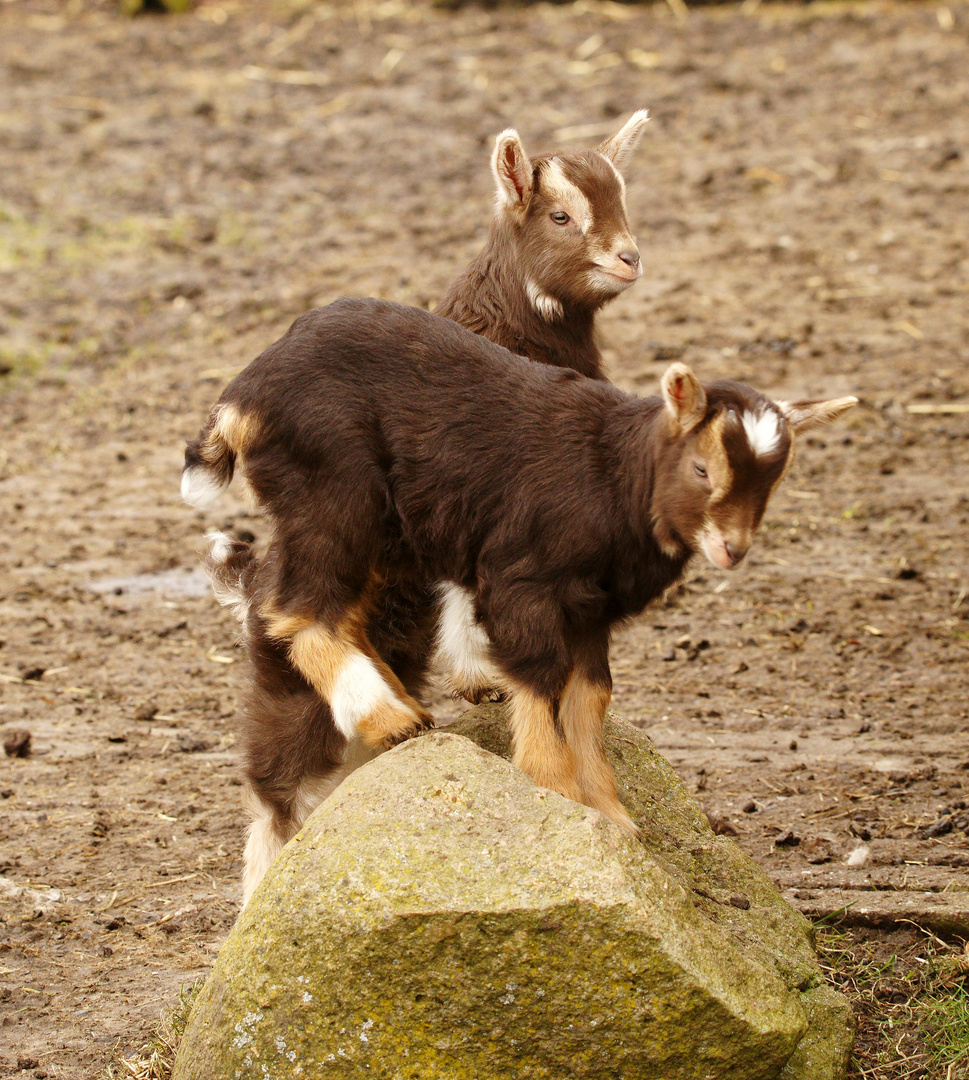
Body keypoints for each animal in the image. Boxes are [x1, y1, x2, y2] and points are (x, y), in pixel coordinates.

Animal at [181, 300, 855, 898]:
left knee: (337, 612)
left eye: (773, 480)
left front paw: (612, 816)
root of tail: (244, 393)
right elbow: (538, 676)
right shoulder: (521, 584)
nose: (732, 549)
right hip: (333, 494)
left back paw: (401, 713)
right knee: (293, 613)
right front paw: (555, 791)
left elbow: (589, 695)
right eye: (702, 470)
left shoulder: (591, 613)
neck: (615, 475)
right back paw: (383, 719)